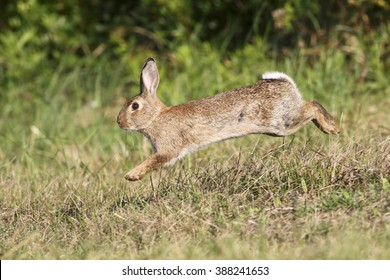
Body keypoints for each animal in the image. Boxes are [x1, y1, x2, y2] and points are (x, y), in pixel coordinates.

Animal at [116, 58, 338, 183]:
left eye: (134, 106)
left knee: (312, 106)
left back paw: (331, 128)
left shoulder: (168, 148)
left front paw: (131, 175)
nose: (119, 122)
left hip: (280, 123)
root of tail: (285, 84)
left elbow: (152, 161)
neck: (155, 117)